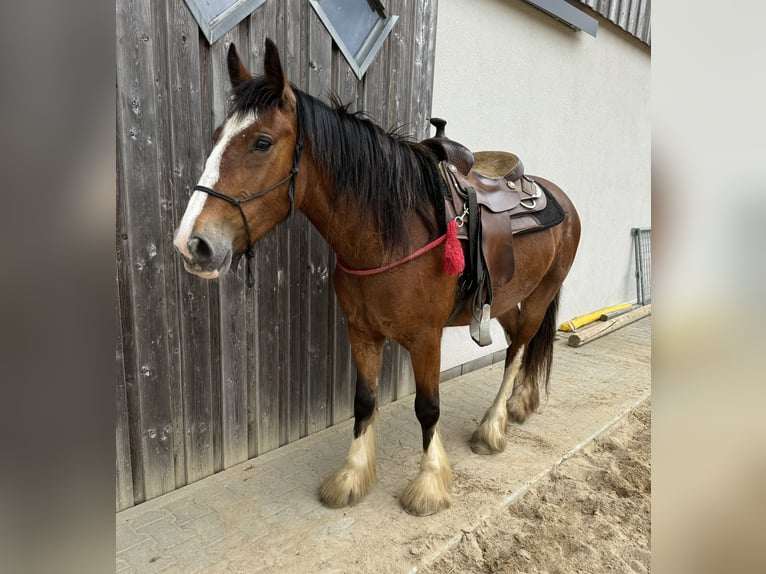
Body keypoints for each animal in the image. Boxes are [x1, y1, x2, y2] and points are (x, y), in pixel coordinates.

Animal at [176, 39, 584, 516]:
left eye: (262, 142)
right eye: (217, 136)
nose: (193, 244)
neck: (393, 233)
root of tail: (559, 196)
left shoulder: (426, 338)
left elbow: (428, 408)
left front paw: (428, 484)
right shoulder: (362, 331)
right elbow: (364, 401)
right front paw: (352, 476)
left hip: (541, 293)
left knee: (518, 350)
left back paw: (493, 426)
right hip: (502, 298)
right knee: (520, 339)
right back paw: (522, 402)